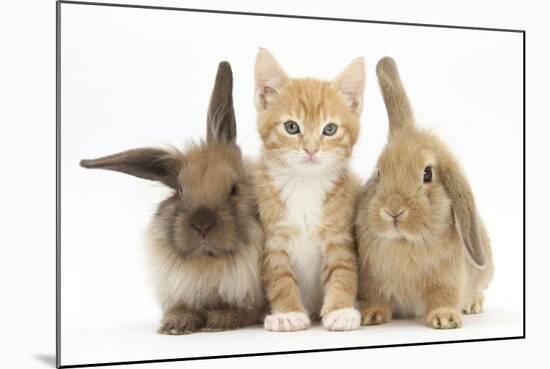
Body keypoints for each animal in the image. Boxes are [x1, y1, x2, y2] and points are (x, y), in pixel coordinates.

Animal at [79, 61, 266, 334]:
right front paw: (176, 324)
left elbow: (245, 311)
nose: (202, 225)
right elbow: (181, 308)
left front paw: (220, 320)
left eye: (234, 189)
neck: (208, 262)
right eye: (179, 190)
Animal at [254, 49, 366, 330]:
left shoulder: (339, 237)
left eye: (330, 129)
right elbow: (279, 276)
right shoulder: (274, 239)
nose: (311, 149)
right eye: (292, 127)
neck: (305, 184)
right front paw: (287, 313)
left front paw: (341, 310)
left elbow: (343, 271)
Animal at [358, 56, 496, 328]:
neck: (404, 242)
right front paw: (371, 315)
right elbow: (377, 297)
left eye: (427, 174)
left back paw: (473, 304)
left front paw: (444, 318)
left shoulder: (445, 278)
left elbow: (442, 296)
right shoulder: (372, 279)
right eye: (379, 173)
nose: (393, 211)